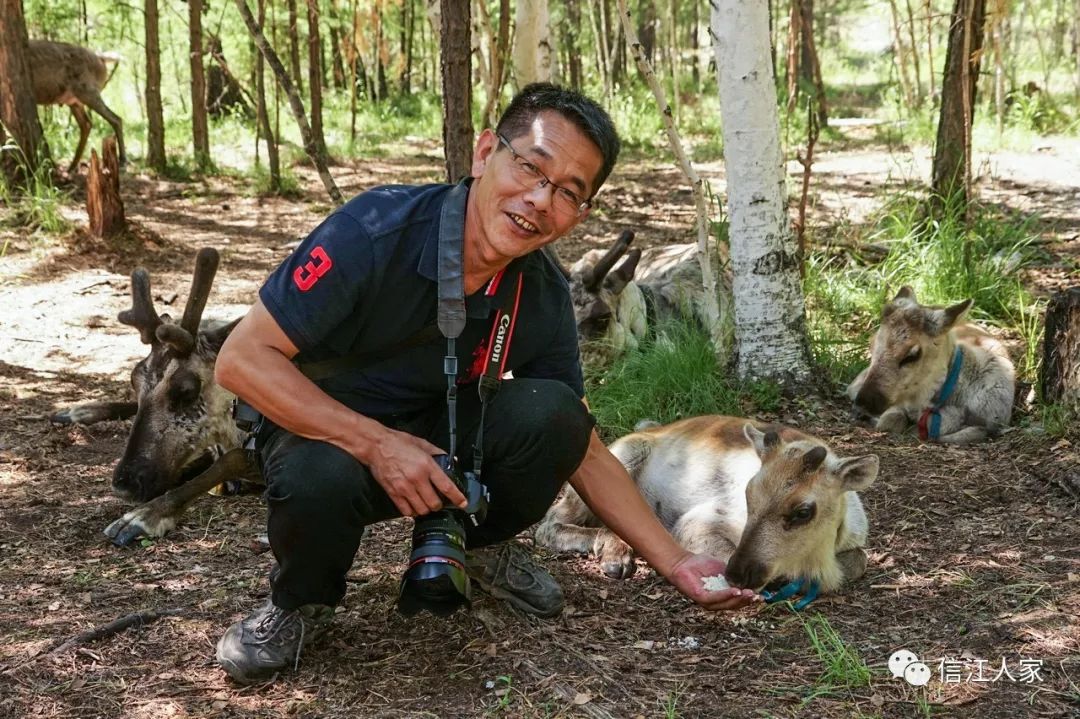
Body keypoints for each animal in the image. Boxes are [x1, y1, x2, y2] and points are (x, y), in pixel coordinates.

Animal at [28, 39, 126, 172]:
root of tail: (100, 59)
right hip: (74, 101)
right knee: (86, 123)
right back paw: (72, 167)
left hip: (86, 90)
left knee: (115, 119)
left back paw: (123, 161)